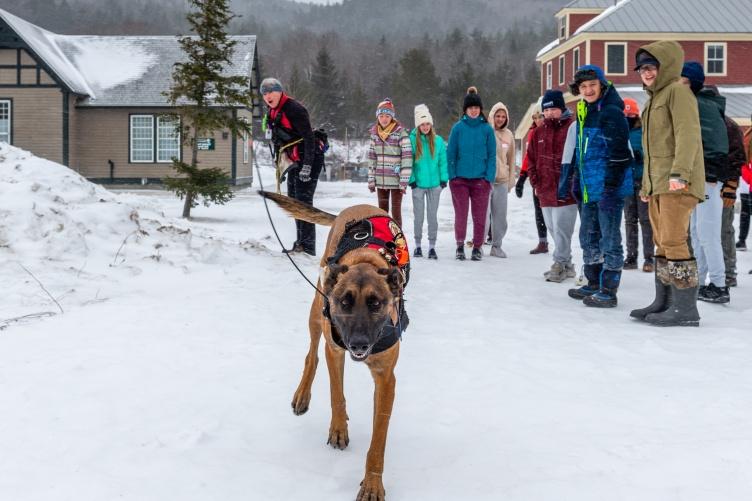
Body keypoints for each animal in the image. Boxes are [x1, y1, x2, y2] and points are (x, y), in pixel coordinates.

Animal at [260, 190, 412, 500]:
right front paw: (339, 429)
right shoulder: (335, 351)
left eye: (376, 304)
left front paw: (372, 484)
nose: (358, 344)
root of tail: (356, 207)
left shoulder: (386, 380)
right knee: (311, 355)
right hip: (317, 310)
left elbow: (379, 438)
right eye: (344, 303)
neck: (366, 260)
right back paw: (302, 395)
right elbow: (336, 394)